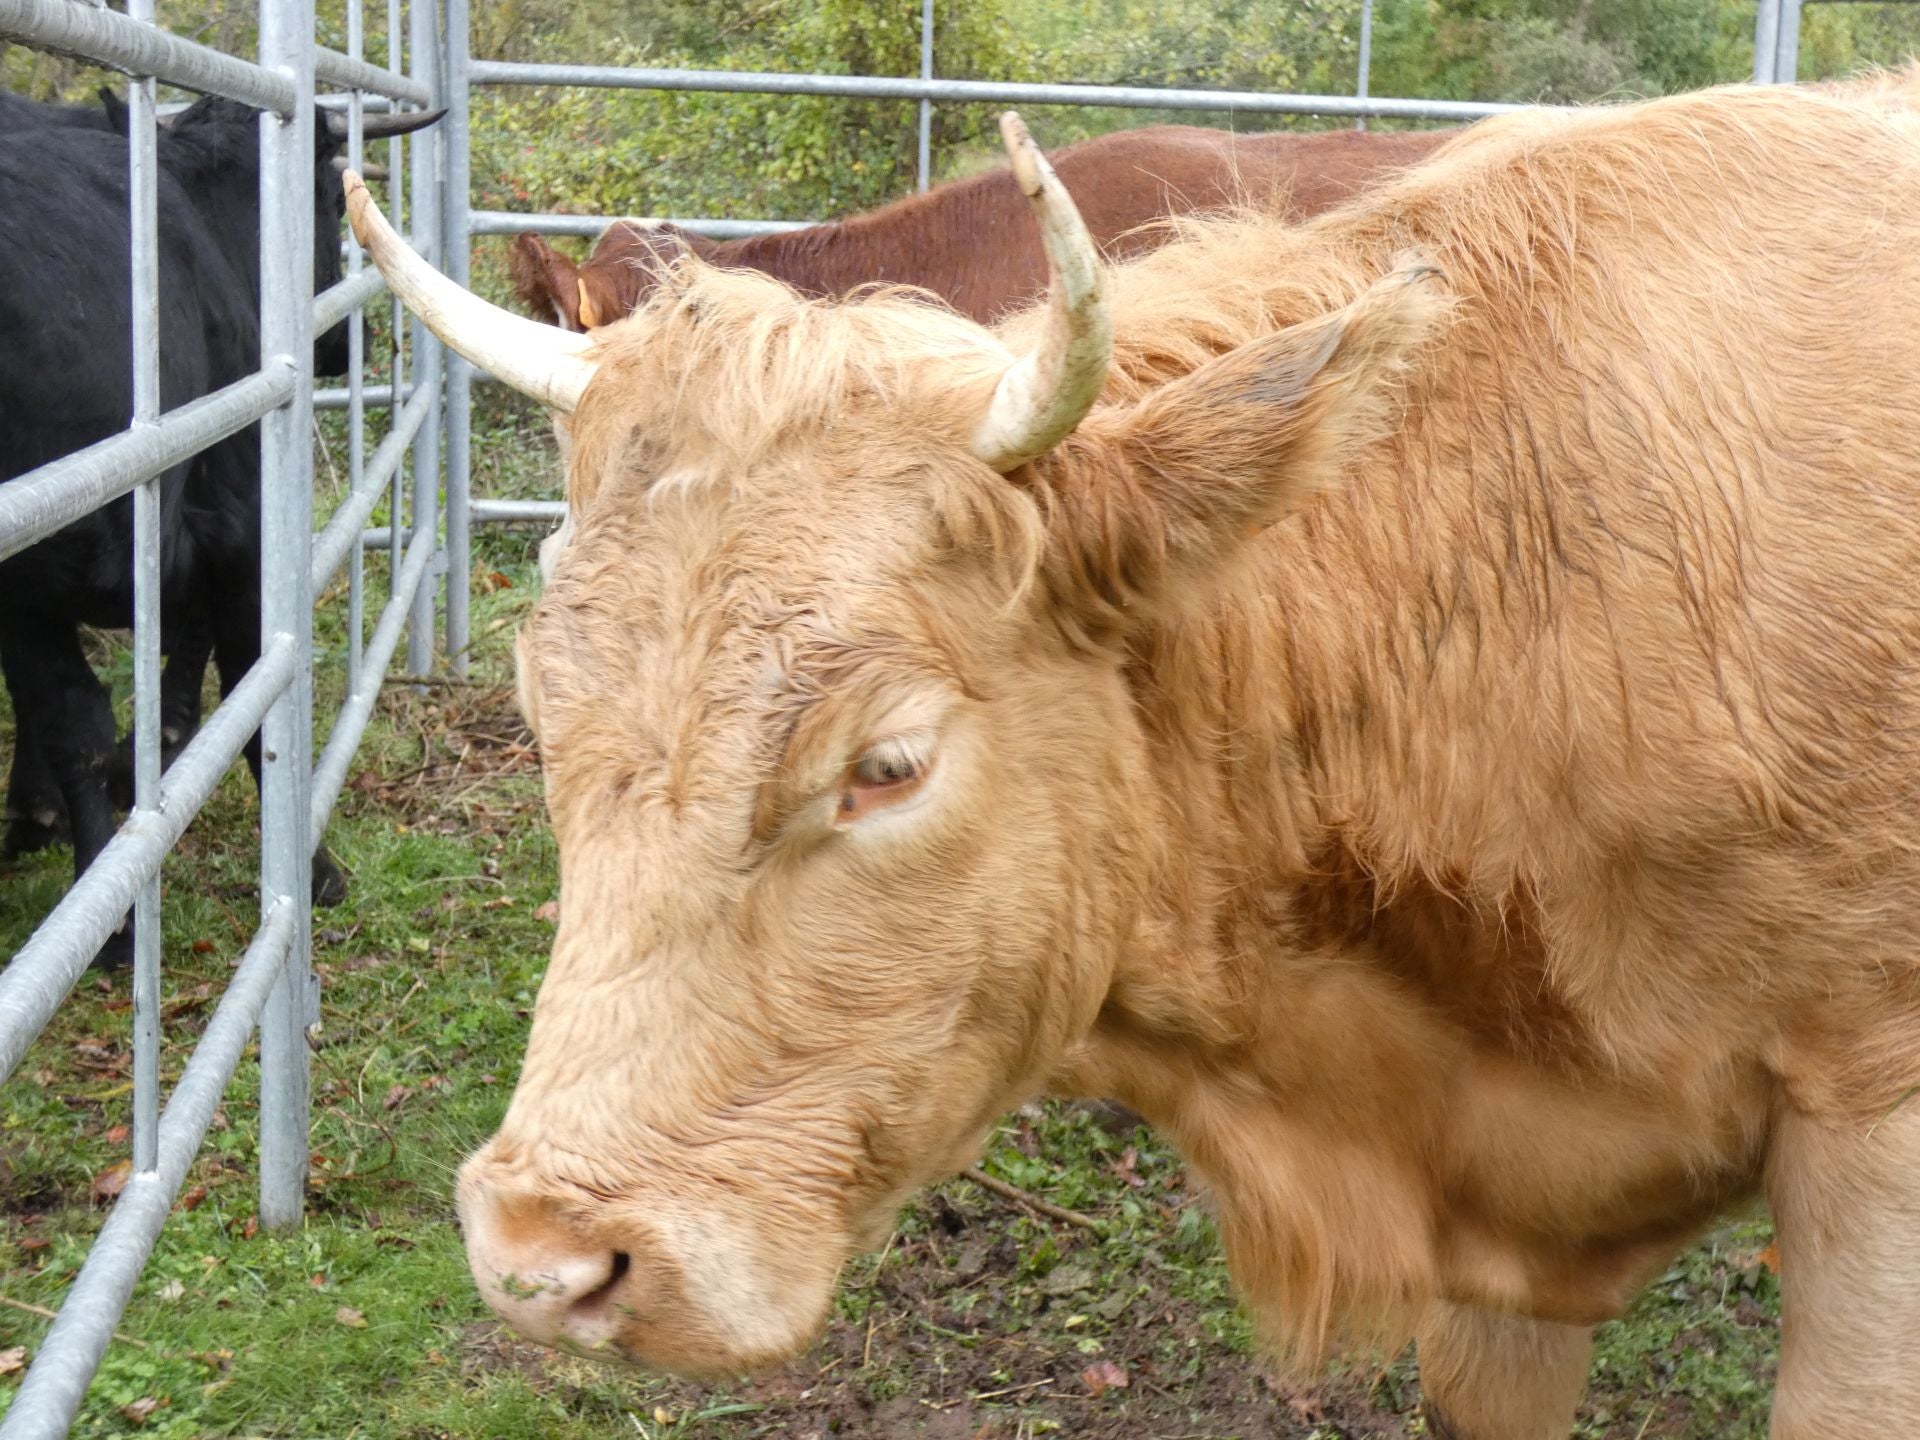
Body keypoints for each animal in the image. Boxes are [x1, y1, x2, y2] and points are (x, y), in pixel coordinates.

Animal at [0, 96, 439, 963]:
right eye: (329, 199)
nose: (347, 343)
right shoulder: (237, 530)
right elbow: (246, 683)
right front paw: (312, 870)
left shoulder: (32, 597)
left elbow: (81, 722)